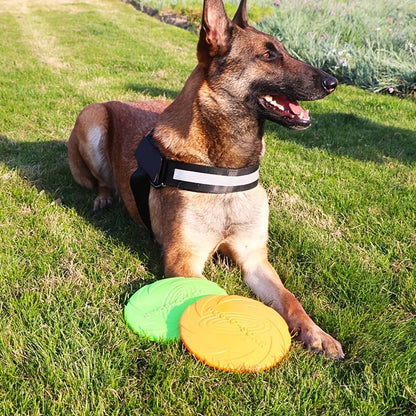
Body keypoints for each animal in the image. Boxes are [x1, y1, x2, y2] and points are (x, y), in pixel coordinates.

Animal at [68, 0, 344, 360]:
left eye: (283, 50)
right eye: (268, 55)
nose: (332, 81)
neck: (225, 173)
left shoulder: (255, 259)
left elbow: (289, 298)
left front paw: (317, 333)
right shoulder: (183, 260)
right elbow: (212, 296)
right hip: (92, 117)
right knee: (100, 180)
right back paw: (103, 196)